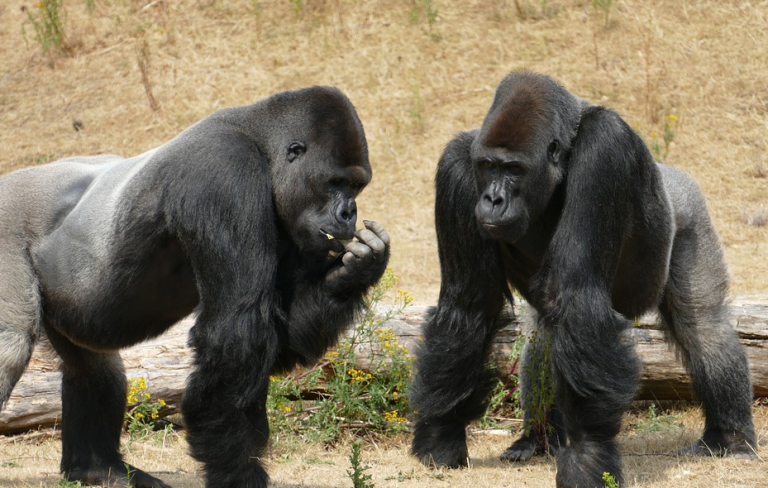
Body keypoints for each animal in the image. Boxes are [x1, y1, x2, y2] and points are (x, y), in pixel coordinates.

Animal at [0, 86, 390, 488]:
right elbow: (237, 330)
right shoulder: (226, 172)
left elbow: (281, 339)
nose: (349, 212)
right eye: (336, 183)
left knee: (95, 365)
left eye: (357, 186)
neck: (260, 143)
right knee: (11, 345)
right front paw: (237, 471)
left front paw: (357, 269)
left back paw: (97, 468)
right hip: (7, 218)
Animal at [412, 72, 752, 488]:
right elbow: (468, 304)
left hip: (690, 210)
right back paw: (536, 440)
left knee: (702, 323)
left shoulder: (604, 147)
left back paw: (728, 436)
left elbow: (574, 296)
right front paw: (440, 433)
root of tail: (671, 172)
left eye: (514, 170)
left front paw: (588, 455)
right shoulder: (458, 166)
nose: (493, 199)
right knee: (544, 334)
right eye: (489, 166)